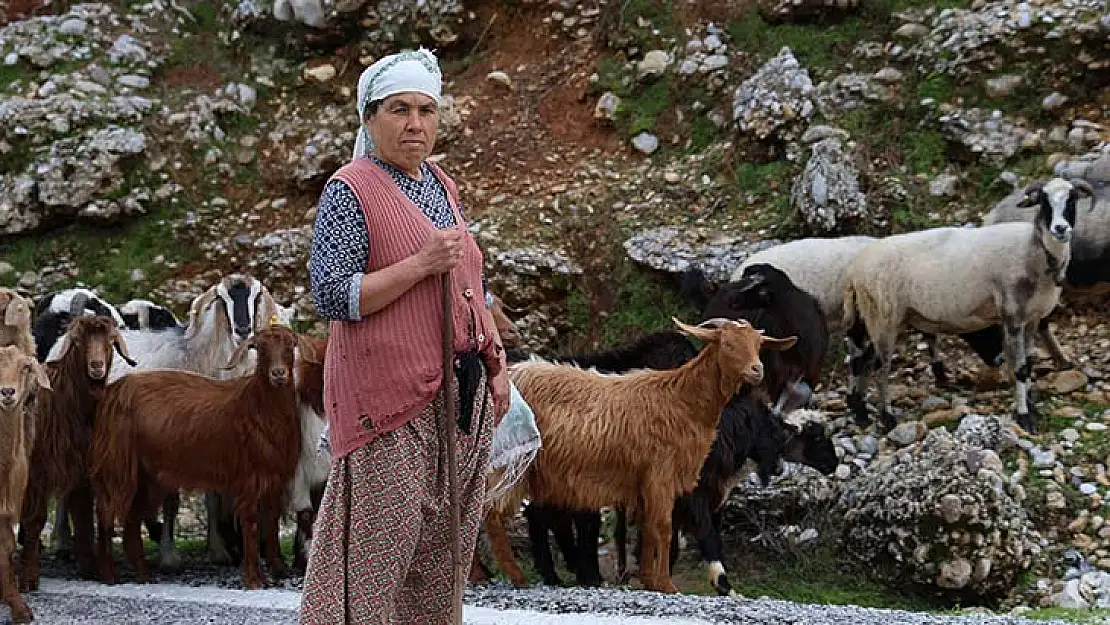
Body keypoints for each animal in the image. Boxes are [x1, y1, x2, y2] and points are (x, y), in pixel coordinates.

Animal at [17, 315, 136, 595]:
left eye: (111, 341)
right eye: (79, 342)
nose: (96, 366)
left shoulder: (81, 470)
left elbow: (82, 517)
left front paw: (90, 568)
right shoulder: (37, 470)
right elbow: (35, 520)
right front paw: (28, 577)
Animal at [90, 326, 317, 590]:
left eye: (290, 346)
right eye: (260, 349)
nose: (278, 374)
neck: (256, 408)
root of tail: (113, 392)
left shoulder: (274, 478)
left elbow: (269, 523)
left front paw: (276, 571)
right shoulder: (249, 478)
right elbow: (251, 524)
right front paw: (253, 579)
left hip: (147, 476)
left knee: (131, 520)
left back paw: (145, 576)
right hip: (118, 466)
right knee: (106, 513)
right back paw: (108, 576)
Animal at [839, 177, 1092, 435]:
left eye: (1072, 199)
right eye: (1043, 201)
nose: (1060, 228)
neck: (1034, 251)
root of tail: (854, 270)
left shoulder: (1031, 317)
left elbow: (1028, 364)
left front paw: (1032, 407)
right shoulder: (1012, 315)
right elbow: (1020, 369)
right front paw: (1024, 417)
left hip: (875, 317)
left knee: (863, 361)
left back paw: (860, 412)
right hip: (884, 316)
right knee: (880, 367)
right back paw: (887, 418)